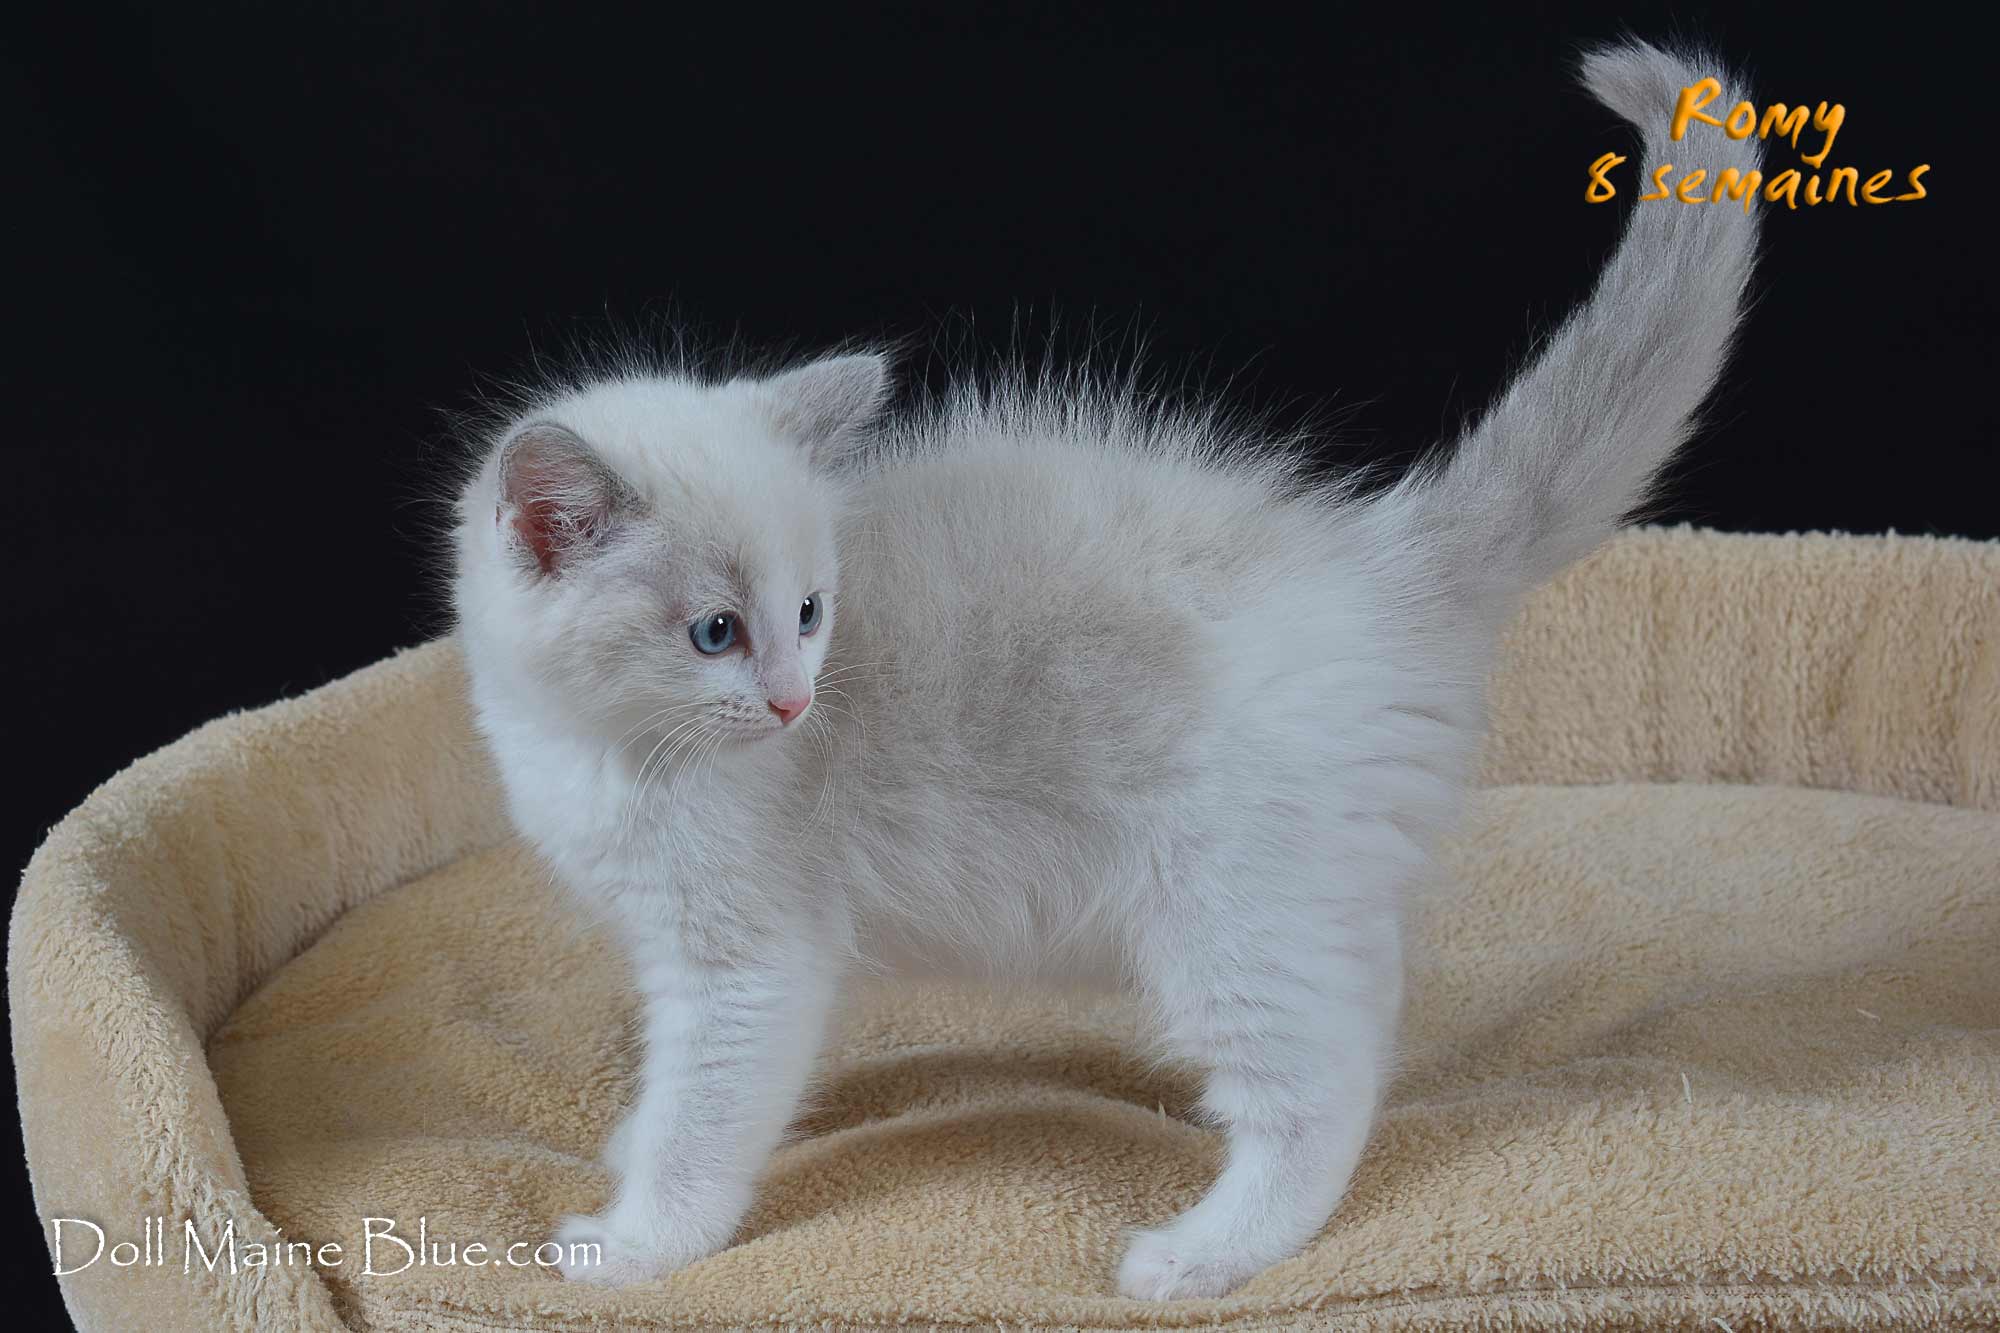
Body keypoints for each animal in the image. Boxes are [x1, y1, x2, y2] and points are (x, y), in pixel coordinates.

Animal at [451, 41, 1761, 1300]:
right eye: (718, 633)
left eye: (808, 614)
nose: (791, 699)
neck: (601, 750)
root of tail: (1376, 554)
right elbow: (662, 1094)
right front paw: (624, 1152)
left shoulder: (746, 961)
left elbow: (703, 1117)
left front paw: (634, 1241)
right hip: (1303, 886)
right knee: (1364, 1003)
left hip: (1224, 900)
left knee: (1319, 1082)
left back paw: (1202, 1254)